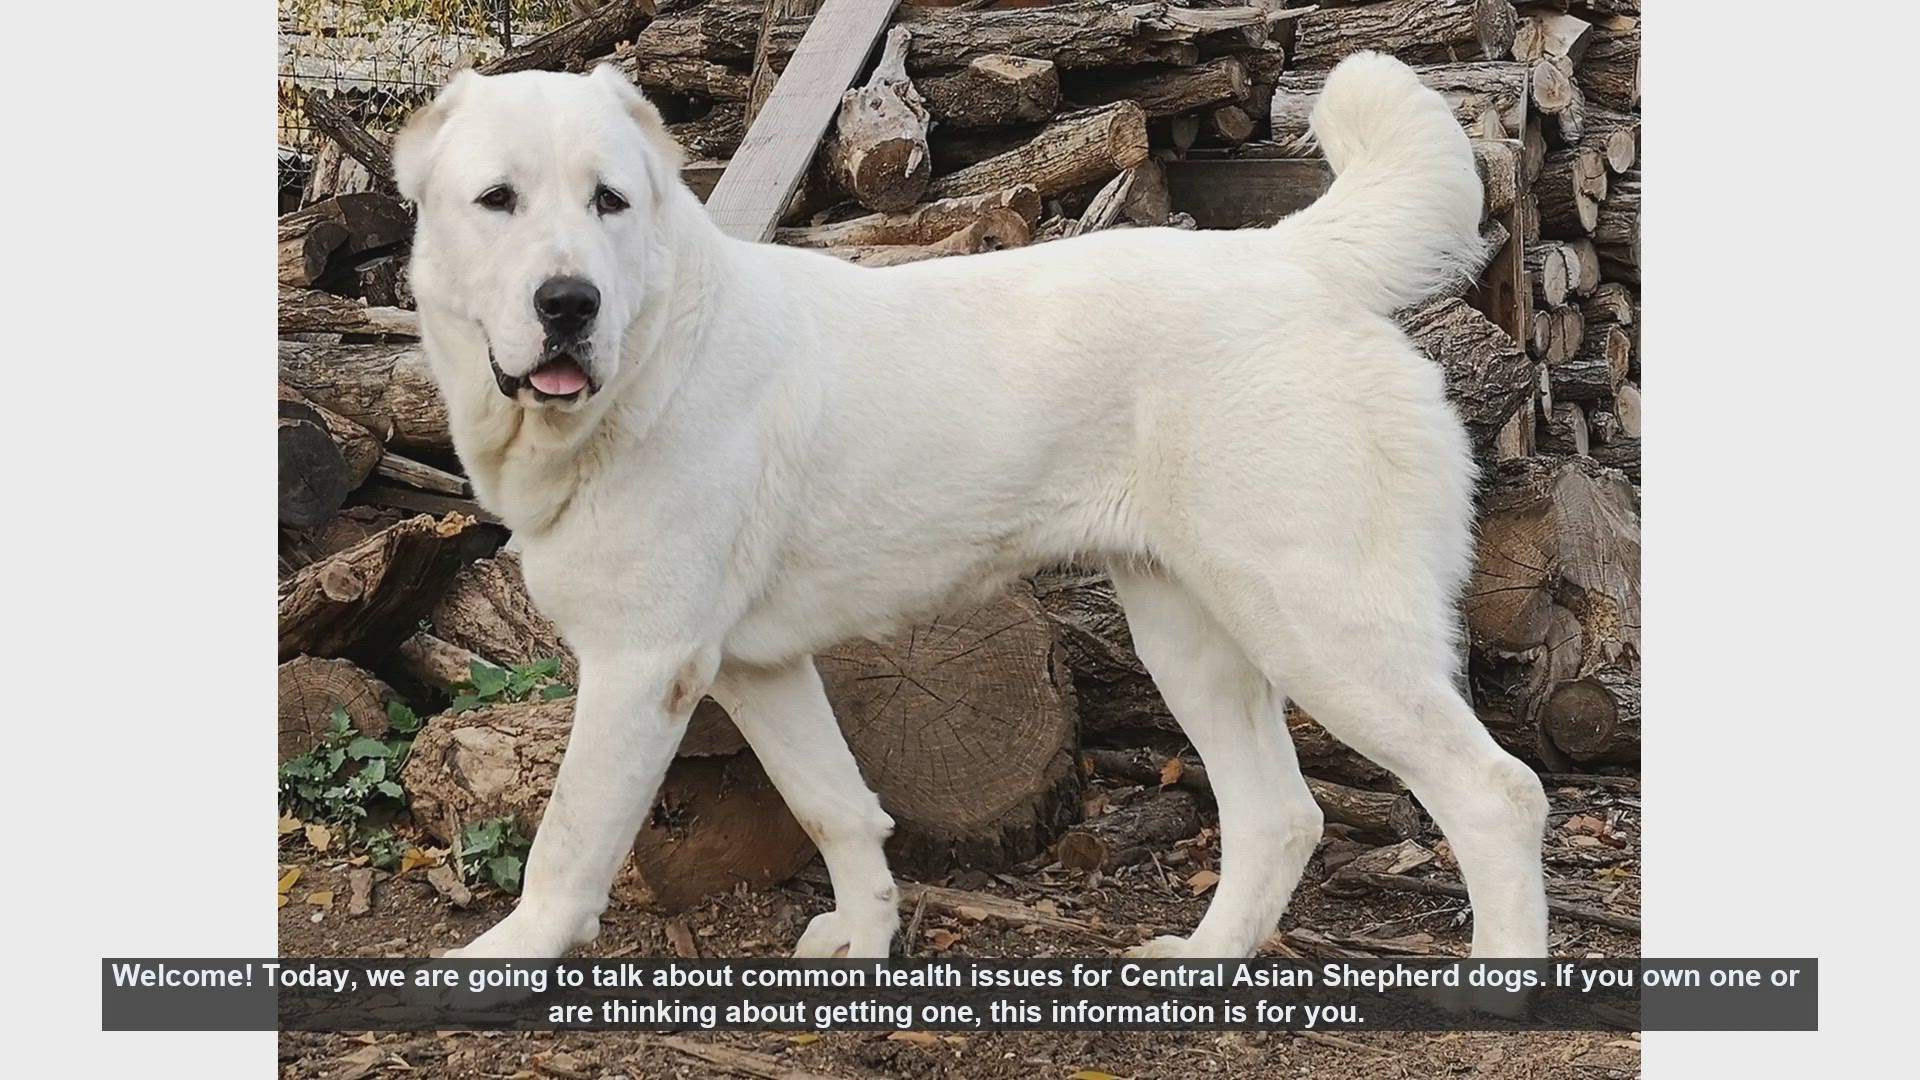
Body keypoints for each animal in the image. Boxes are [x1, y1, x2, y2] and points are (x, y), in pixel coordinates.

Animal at [392, 51, 1549, 961]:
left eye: (610, 203)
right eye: (498, 201)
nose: (569, 303)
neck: (652, 358)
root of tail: (1282, 251)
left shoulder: (643, 668)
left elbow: (568, 839)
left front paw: (507, 958)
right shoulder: (756, 668)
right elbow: (837, 807)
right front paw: (866, 937)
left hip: (1323, 626)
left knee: (1498, 794)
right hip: (1191, 634)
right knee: (1282, 816)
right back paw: (1205, 957)